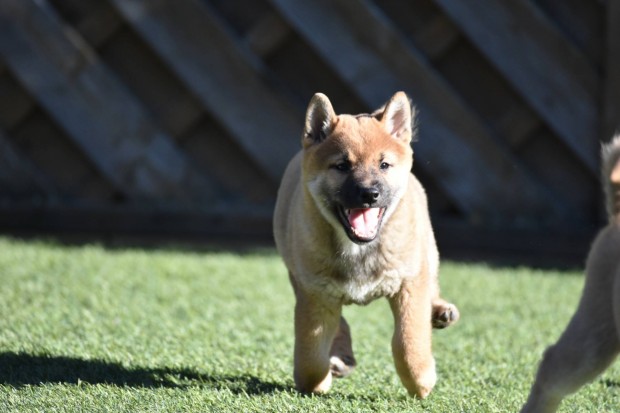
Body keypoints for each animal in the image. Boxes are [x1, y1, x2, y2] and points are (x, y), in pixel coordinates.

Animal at [274, 91, 458, 398]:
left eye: (384, 165)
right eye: (342, 166)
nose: (369, 194)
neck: (358, 249)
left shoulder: (408, 283)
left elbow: (409, 341)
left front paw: (422, 379)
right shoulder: (314, 294)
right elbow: (310, 358)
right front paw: (322, 376)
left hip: (427, 251)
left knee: (432, 282)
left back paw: (440, 310)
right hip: (296, 274)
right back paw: (340, 358)